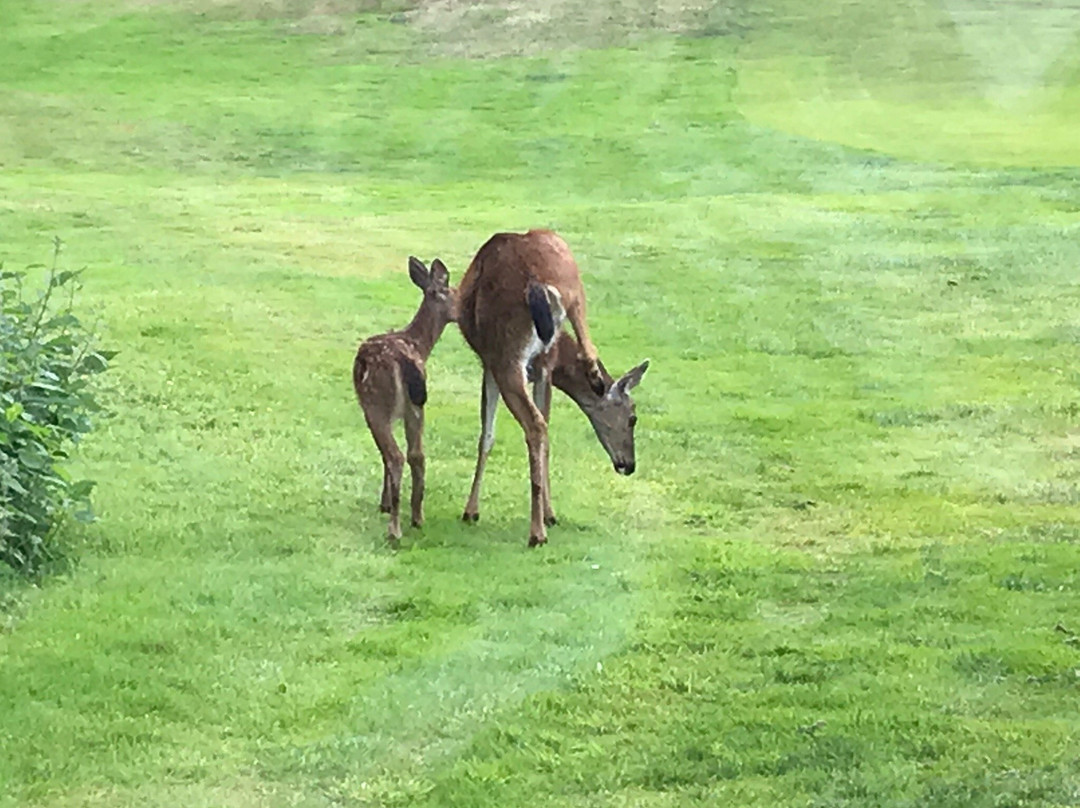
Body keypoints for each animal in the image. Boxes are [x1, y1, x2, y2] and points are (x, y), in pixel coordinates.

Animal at [354, 256, 455, 540]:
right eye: (454, 293)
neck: (419, 344)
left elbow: (383, 455)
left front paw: (385, 503)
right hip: (416, 405)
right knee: (416, 454)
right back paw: (417, 517)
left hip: (377, 403)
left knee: (395, 456)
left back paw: (394, 529)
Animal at [457, 230, 648, 546]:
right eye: (633, 418)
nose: (629, 465)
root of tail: (537, 284)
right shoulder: (545, 368)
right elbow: (547, 434)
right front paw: (550, 513)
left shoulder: (489, 364)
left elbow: (487, 436)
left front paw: (471, 510)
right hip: (573, 285)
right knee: (586, 346)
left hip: (506, 356)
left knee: (533, 426)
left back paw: (536, 533)